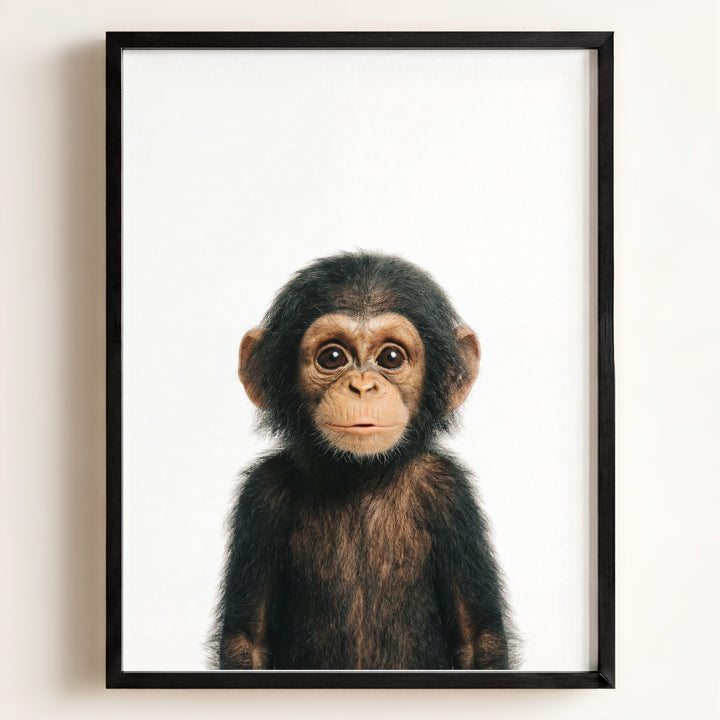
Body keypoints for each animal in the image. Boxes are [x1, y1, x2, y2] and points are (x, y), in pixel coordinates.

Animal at [213, 252, 518, 670]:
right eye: (332, 357)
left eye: (391, 357)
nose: (362, 386)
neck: (360, 476)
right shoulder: (261, 494)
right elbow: (247, 640)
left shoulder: (451, 493)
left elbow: (479, 639)